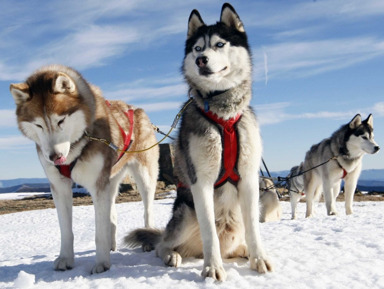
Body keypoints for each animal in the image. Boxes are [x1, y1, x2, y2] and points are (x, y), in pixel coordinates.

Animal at [10, 64, 158, 272]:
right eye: (38, 125)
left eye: (61, 121)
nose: (54, 157)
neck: (77, 144)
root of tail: (135, 109)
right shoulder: (59, 186)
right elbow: (66, 230)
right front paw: (65, 258)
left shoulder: (97, 185)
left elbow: (99, 232)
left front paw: (102, 263)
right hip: (111, 179)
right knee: (112, 213)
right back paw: (112, 243)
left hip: (144, 176)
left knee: (147, 209)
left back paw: (146, 238)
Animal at [124, 3, 272, 280]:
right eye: (197, 48)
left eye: (219, 44)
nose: (200, 60)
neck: (223, 115)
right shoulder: (201, 181)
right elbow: (209, 233)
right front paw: (212, 269)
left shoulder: (248, 179)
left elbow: (255, 230)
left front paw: (259, 259)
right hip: (185, 213)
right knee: (163, 244)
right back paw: (172, 255)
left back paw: (244, 251)